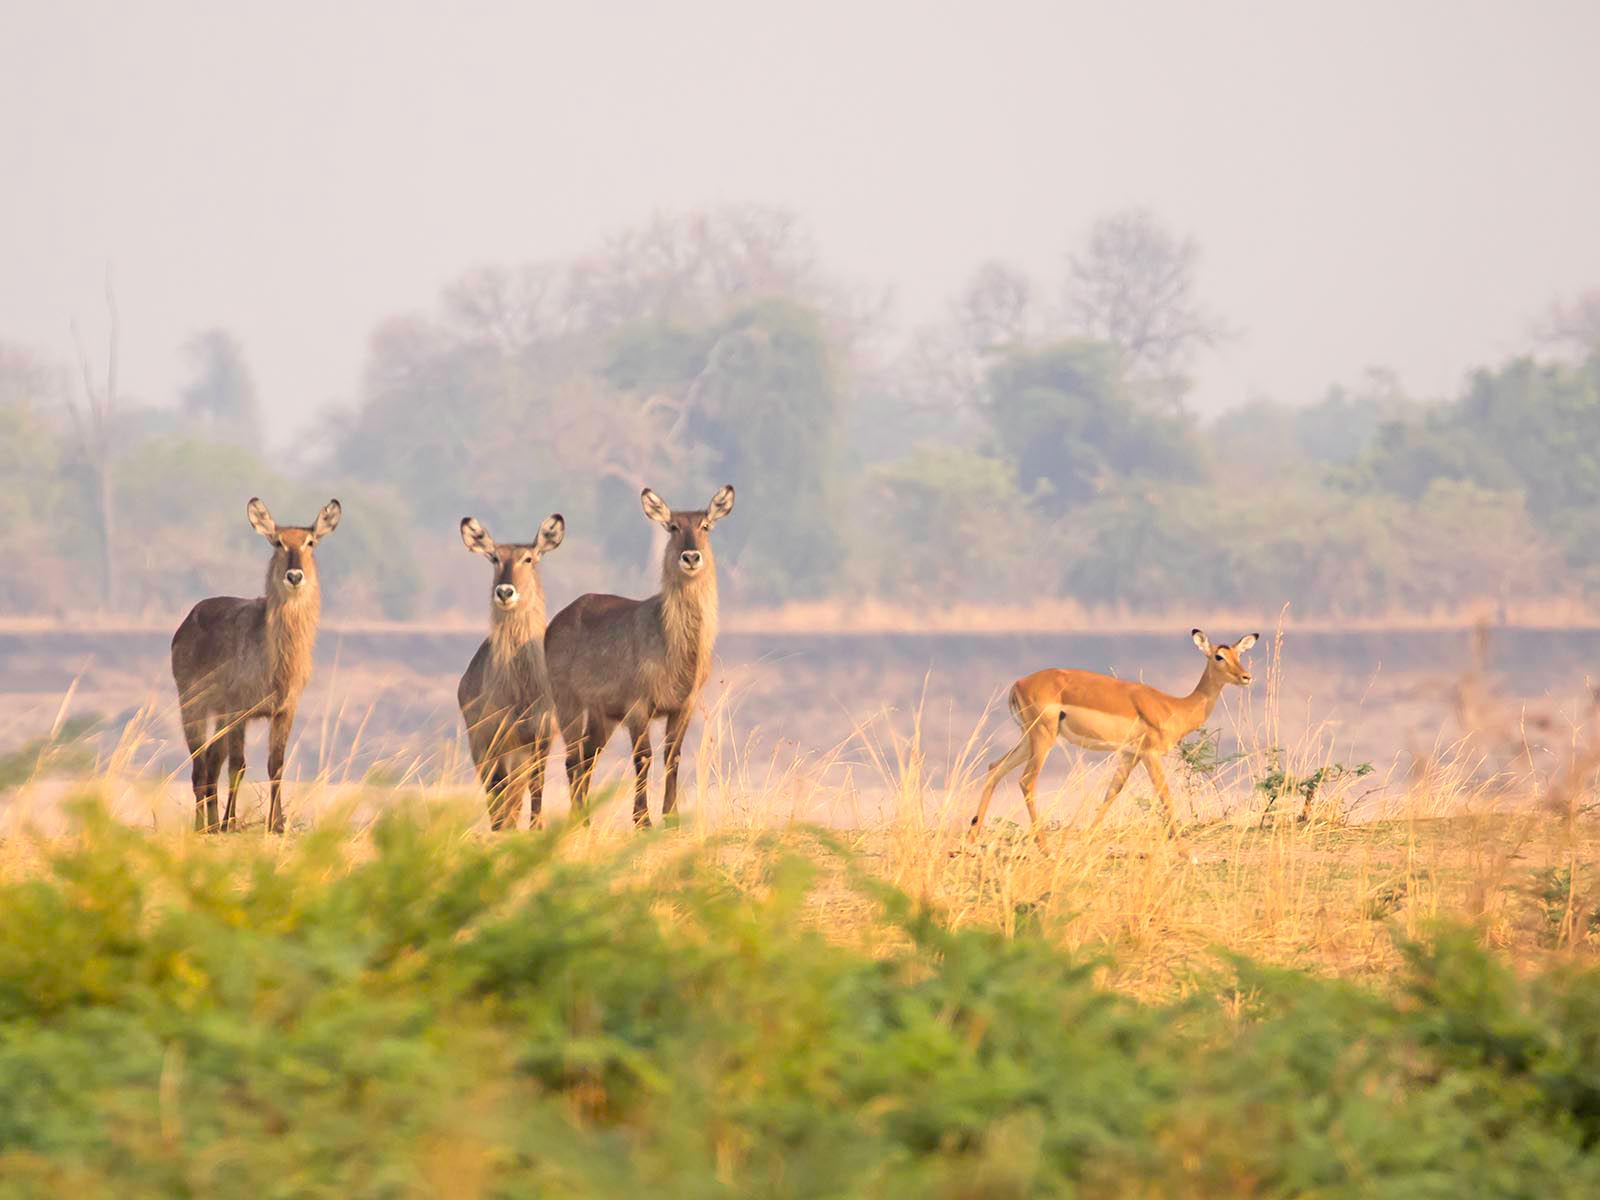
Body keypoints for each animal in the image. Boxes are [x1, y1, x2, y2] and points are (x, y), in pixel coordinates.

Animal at [170, 497, 342, 833]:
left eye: (310, 542)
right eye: (278, 542)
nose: (294, 576)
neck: (277, 662)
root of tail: (189, 618)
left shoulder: (284, 710)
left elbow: (276, 764)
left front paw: (277, 824)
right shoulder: (240, 711)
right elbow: (238, 767)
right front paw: (231, 822)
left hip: (219, 715)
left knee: (212, 763)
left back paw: (211, 824)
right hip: (193, 705)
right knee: (199, 766)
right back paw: (203, 826)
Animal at [457, 513, 565, 830]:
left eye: (528, 558)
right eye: (494, 557)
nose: (505, 591)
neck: (522, 689)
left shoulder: (541, 739)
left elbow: (537, 791)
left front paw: (536, 830)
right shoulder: (494, 741)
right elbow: (499, 796)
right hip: (484, 748)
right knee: (498, 795)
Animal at [545, 485, 735, 826]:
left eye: (705, 526)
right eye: (673, 526)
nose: (691, 556)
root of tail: (557, 619)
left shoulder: (684, 705)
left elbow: (673, 756)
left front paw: (671, 817)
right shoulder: (637, 705)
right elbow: (643, 757)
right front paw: (643, 820)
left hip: (602, 715)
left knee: (587, 757)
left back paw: (585, 818)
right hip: (567, 702)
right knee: (572, 759)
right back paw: (578, 819)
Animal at [971, 629, 1258, 844]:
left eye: (1239, 654)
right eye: (1219, 656)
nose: (1246, 676)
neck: (1174, 707)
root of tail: (1018, 684)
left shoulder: (1129, 755)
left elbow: (1112, 792)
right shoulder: (1150, 754)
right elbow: (1165, 795)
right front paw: (1188, 855)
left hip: (1028, 739)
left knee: (995, 767)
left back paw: (974, 835)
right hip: (1042, 738)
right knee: (1027, 780)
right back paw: (1044, 848)